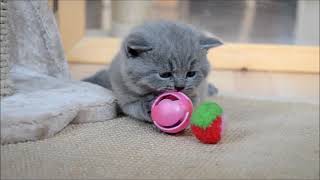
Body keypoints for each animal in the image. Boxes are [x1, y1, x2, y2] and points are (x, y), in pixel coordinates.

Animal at [84, 21, 221, 122]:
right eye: (165, 75)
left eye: (191, 74)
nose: (180, 87)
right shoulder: (124, 97)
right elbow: (135, 108)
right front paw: (147, 105)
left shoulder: (197, 91)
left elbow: (194, 100)